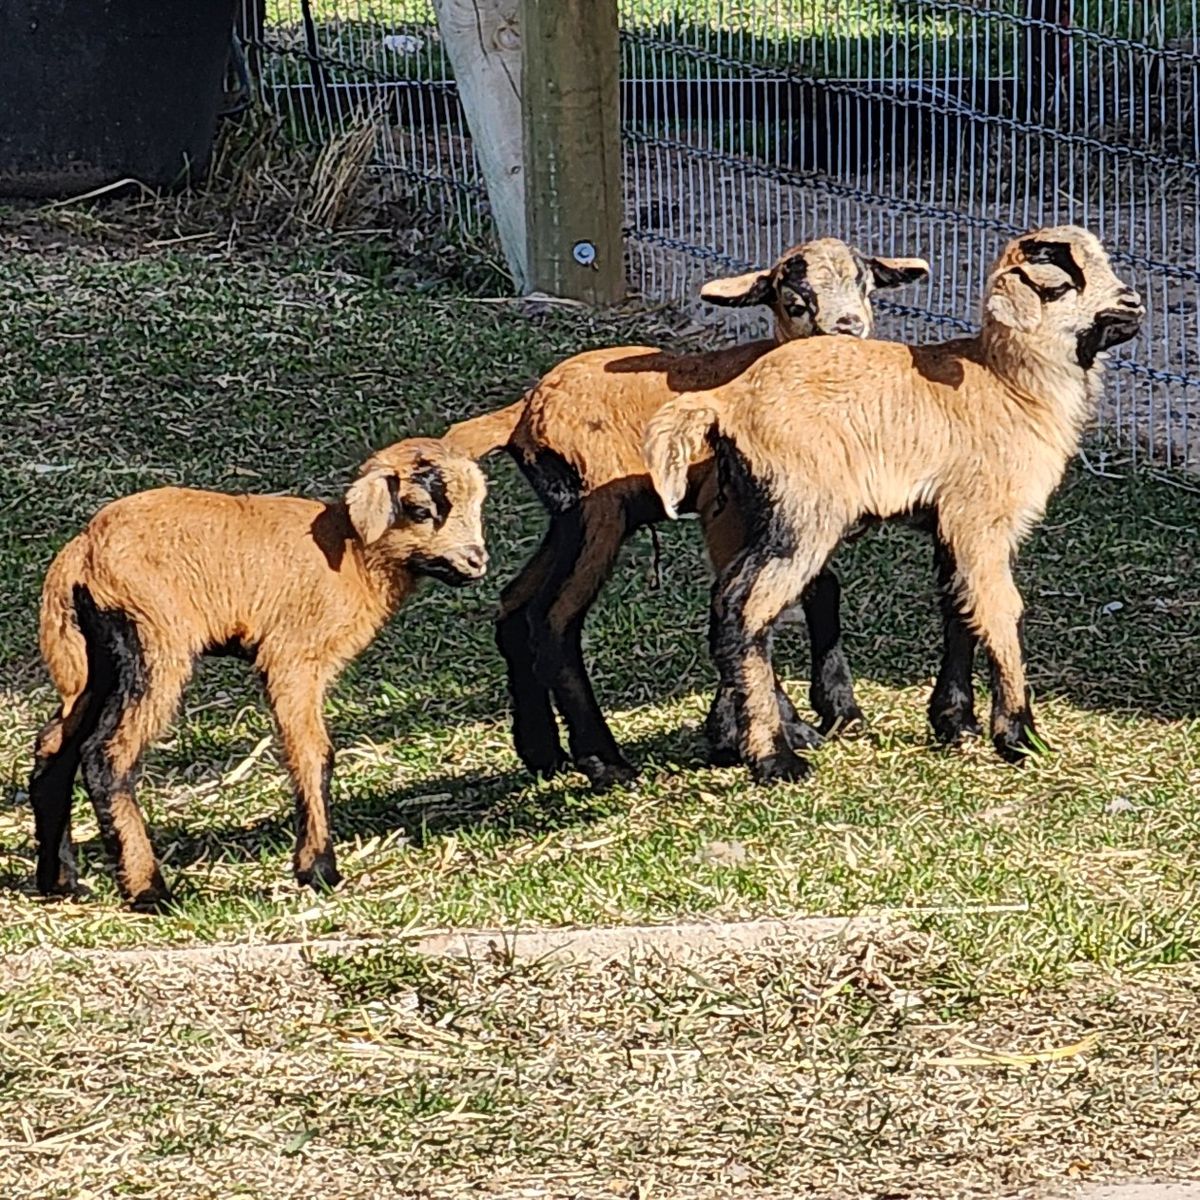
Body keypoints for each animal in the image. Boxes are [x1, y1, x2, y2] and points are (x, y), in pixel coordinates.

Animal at [28, 437, 488, 911]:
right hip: (153, 638)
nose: (477, 562)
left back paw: (59, 881)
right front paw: (318, 870)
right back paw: (149, 891)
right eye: (420, 509)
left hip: (96, 659)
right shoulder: (294, 659)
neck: (355, 557)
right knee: (107, 753)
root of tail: (81, 552)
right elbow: (313, 754)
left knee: (54, 746)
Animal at [443, 237, 967, 790]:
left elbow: (818, 592)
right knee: (552, 620)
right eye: (794, 302)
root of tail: (523, 412)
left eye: (867, 288)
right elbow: (744, 606)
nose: (848, 327)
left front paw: (833, 712)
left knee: (514, 604)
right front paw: (757, 732)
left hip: (567, 519)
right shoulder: (728, 514)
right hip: (598, 512)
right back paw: (604, 760)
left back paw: (542, 751)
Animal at [643, 224, 1144, 782]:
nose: (1133, 305)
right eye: (1059, 284)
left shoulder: (952, 523)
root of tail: (724, 400)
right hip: (803, 514)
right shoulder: (982, 519)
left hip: (755, 515)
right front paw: (1020, 736)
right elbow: (1000, 609)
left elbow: (959, 604)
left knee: (725, 600)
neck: (1008, 385)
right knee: (747, 606)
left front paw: (955, 722)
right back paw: (776, 758)